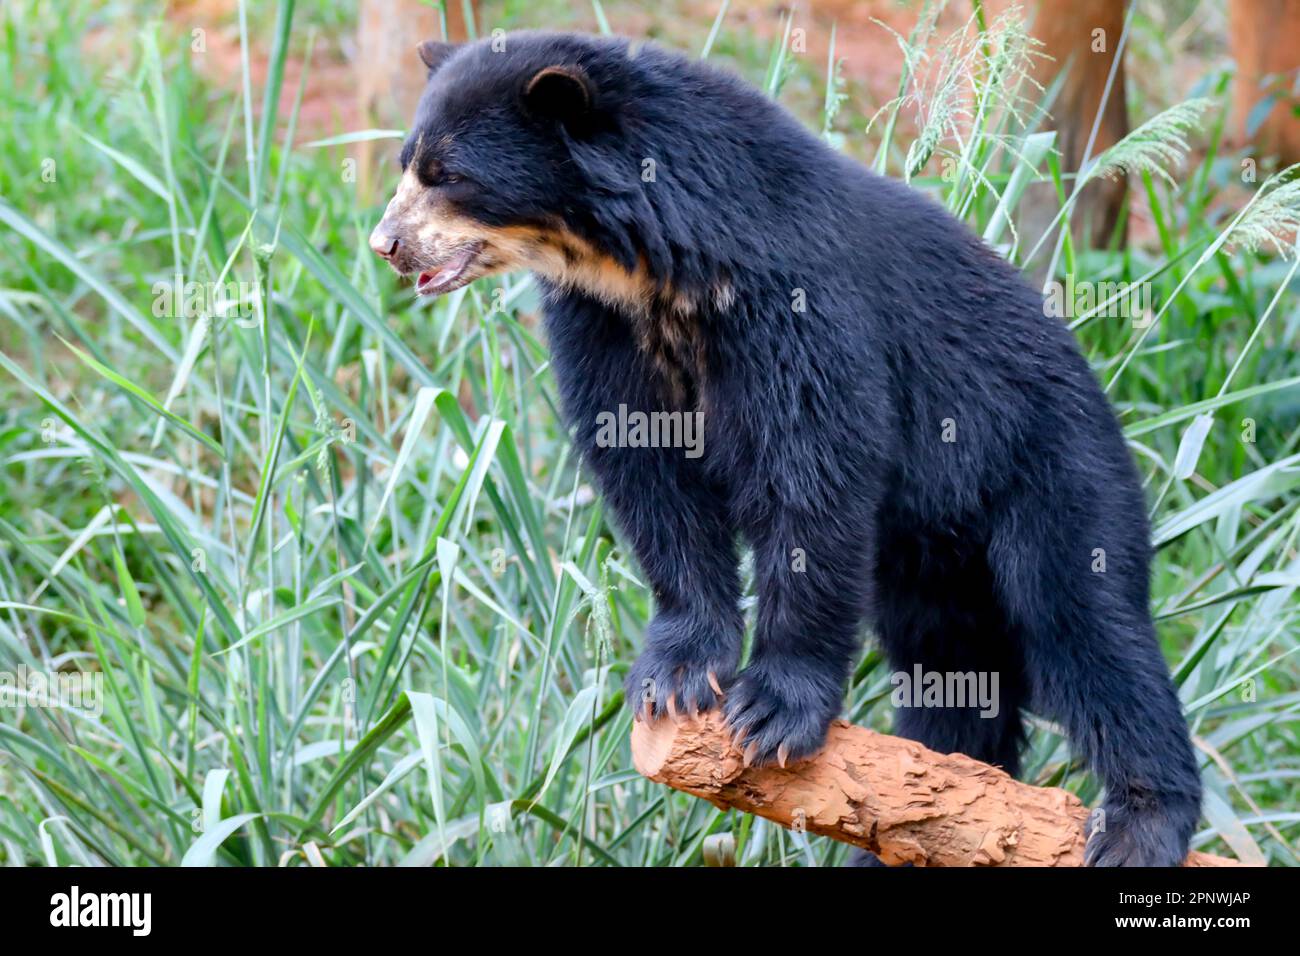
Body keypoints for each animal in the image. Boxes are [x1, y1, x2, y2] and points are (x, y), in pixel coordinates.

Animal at [368, 30, 1202, 867]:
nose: (386, 246)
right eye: (408, 162)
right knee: (952, 669)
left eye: (449, 175)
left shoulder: (797, 304)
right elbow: (650, 480)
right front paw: (673, 677)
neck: (654, 269)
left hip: (1049, 466)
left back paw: (1139, 823)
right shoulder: (602, 325)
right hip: (930, 560)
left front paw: (770, 711)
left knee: (1086, 620)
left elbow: (813, 474)